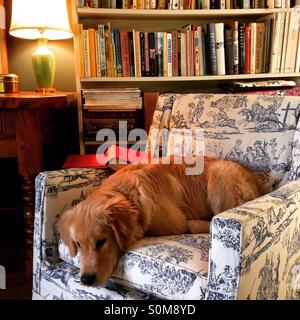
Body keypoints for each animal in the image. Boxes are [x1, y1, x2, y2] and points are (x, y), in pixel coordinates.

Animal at [58, 156, 262, 286]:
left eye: (101, 242)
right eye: (78, 244)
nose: (85, 280)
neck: (127, 195)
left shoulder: (175, 221)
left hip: (219, 177)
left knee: (214, 218)